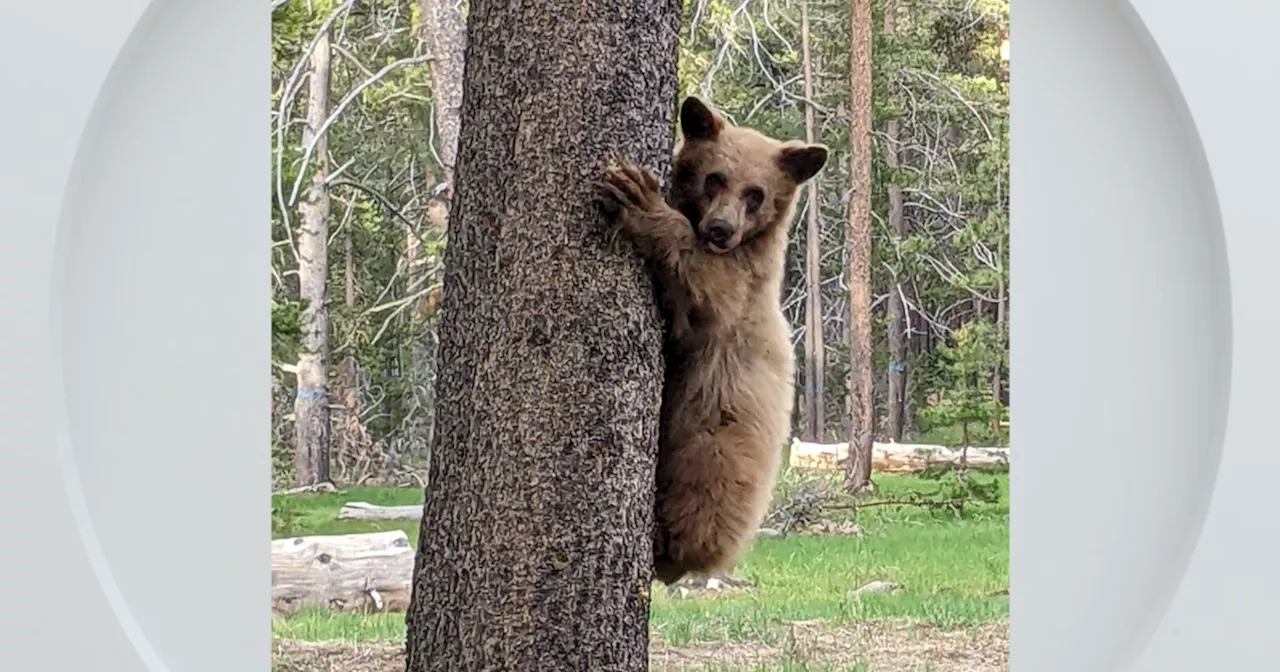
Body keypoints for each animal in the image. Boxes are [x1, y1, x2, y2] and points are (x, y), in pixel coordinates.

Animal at [591, 94, 824, 581]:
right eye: (715, 178)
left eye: (756, 194)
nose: (721, 229)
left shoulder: (741, 289)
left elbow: (706, 286)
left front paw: (639, 198)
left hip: (713, 440)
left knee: (700, 493)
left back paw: (668, 547)